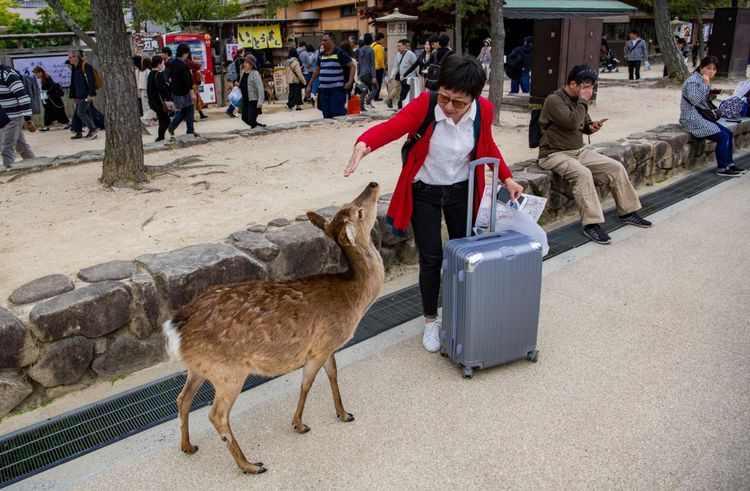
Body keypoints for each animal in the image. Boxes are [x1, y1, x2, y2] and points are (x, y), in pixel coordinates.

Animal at [164, 183, 388, 474]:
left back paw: (188, 446)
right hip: (228, 371)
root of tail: (175, 328)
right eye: (358, 211)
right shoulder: (320, 347)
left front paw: (343, 413)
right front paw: (300, 424)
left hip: (199, 367)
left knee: (183, 399)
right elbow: (306, 384)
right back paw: (250, 465)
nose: (373, 184)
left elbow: (333, 375)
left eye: (348, 207)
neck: (354, 300)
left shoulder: (327, 347)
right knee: (217, 415)